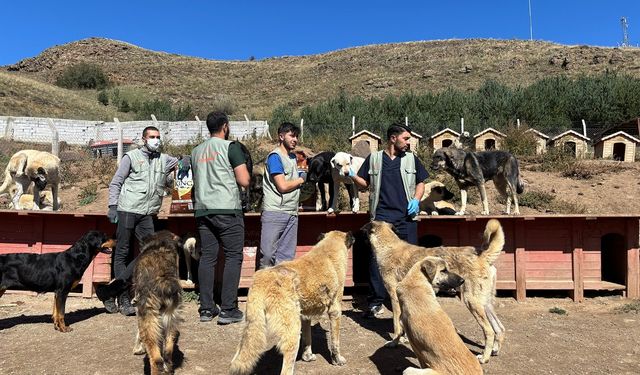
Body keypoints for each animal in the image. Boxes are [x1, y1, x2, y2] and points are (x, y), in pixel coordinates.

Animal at [131, 231, 184, 375]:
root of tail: (163, 281)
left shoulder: (140, 311)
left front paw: (138, 348)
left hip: (148, 317)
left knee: (156, 360)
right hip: (171, 318)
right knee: (167, 352)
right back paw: (168, 369)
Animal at [229, 231, 356, 374]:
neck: (327, 250)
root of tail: (262, 280)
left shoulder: (305, 315)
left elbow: (308, 338)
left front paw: (307, 356)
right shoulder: (335, 312)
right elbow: (335, 342)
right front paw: (337, 360)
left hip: (250, 328)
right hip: (292, 332)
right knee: (286, 368)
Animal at [364, 220, 504, 364]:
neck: (388, 246)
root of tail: (483, 256)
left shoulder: (394, 297)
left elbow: (397, 325)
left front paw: (394, 342)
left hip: (471, 301)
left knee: (489, 331)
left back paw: (484, 357)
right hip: (485, 304)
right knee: (499, 328)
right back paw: (495, 350)